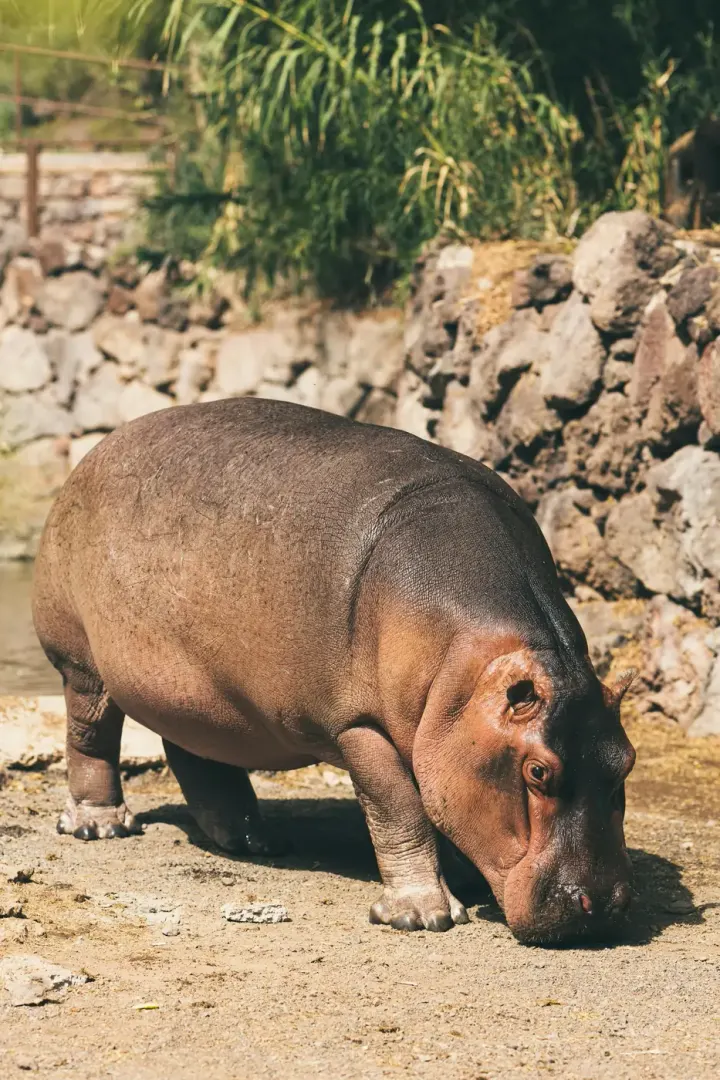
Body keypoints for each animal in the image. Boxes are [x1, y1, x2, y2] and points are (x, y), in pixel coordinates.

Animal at [32, 398, 636, 943]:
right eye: (537, 771)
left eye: (626, 762)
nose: (601, 905)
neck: (464, 669)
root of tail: (98, 448)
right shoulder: (359, 726)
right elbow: (400, 810)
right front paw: (422, 915)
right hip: (83, 664)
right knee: (91, 737)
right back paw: (100, 826)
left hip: (201, 695)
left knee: (197, 757)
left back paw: (255, 842)